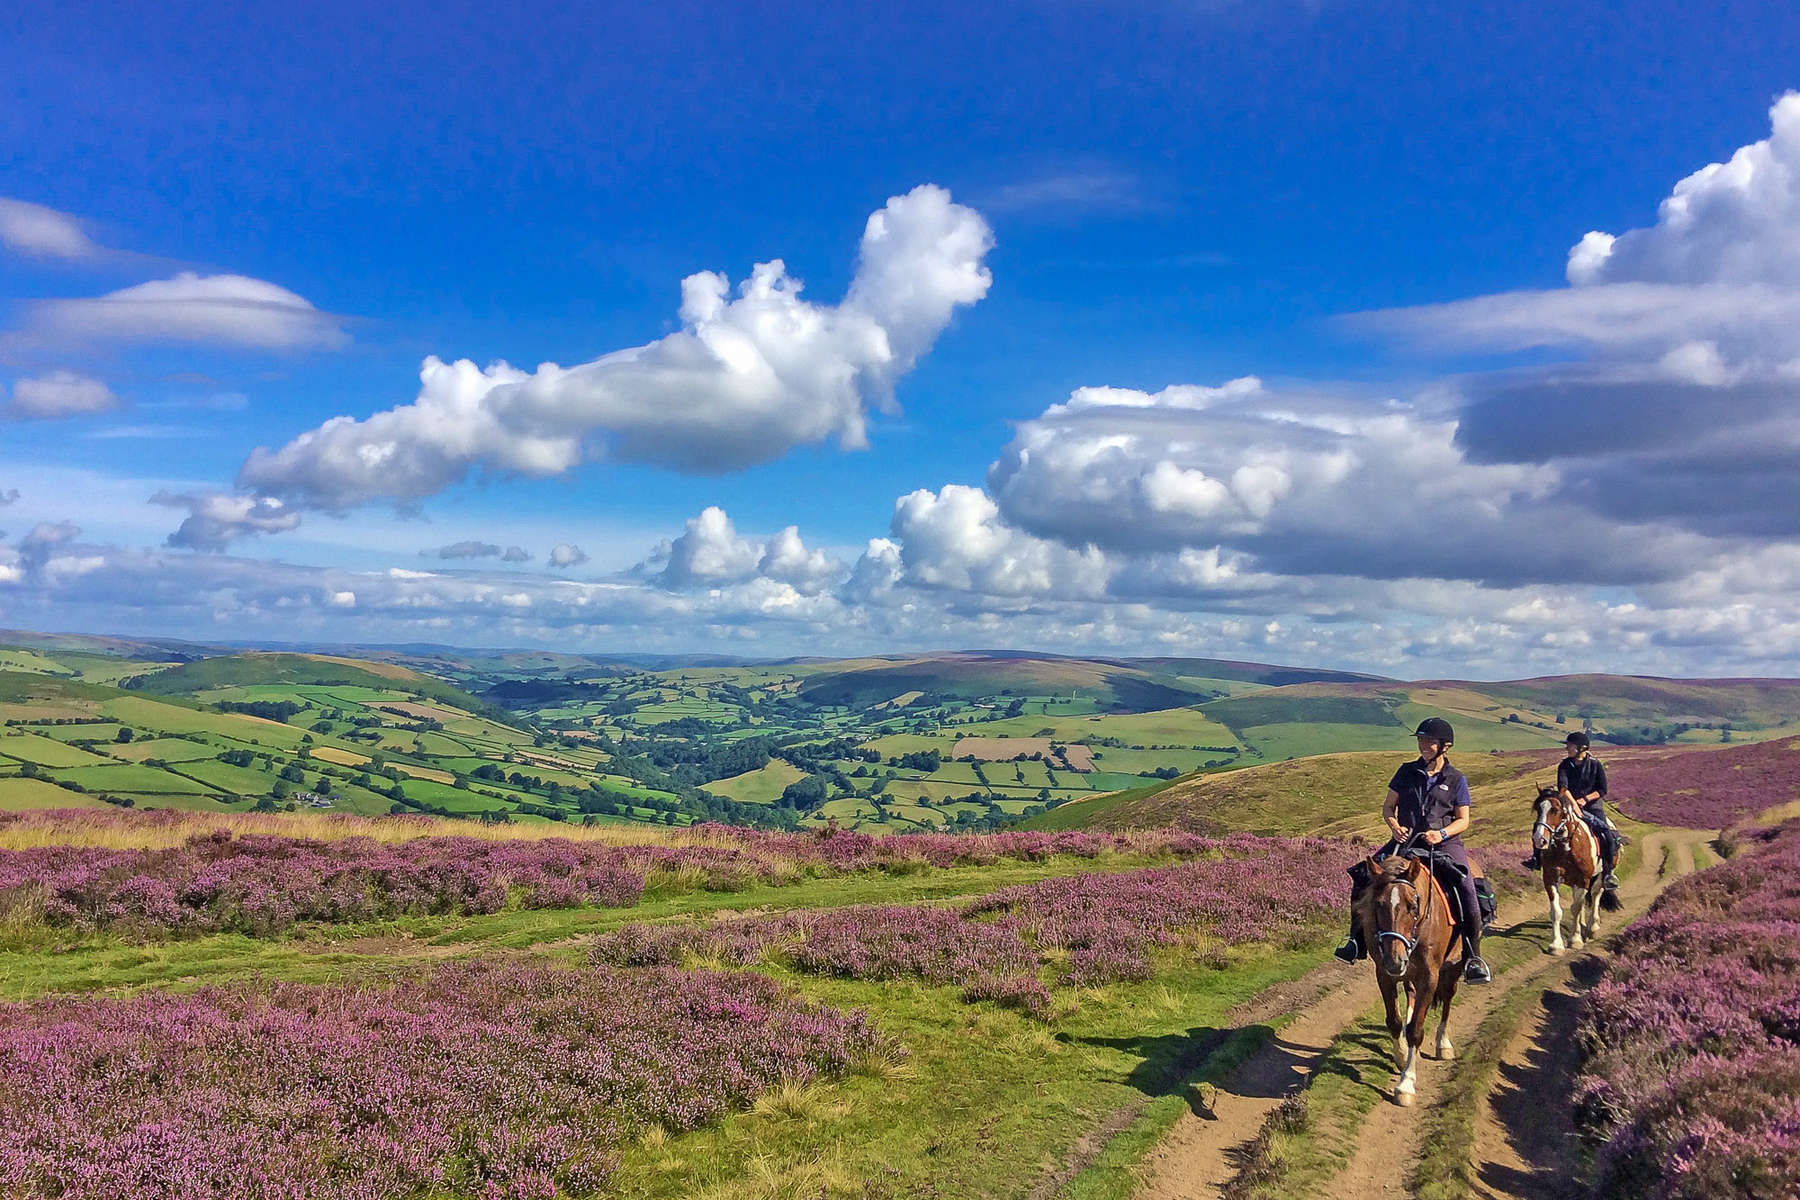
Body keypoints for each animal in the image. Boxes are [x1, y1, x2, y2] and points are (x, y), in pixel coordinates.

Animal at [1360, 852, 1461, 1108]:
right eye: (1378, 905)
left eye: (1413, 906)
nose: (1394, 960)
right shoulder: (1384, 974)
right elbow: (1394, 1021)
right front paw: (1402, 1055)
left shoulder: (1429, 977)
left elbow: (1416, 1029)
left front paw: (1406, 1084)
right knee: (1411, 996)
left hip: (1454, 965)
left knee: (1448, 998)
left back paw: (1443, 1043)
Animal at [1533, 788, 1605, 957]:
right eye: (1538, 809)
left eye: (1555, 810)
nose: (1539, 839)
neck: (1565, 848)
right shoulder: (1550, 879)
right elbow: (1556, 911)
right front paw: (1556, 945)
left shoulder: (1583, 880)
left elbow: (1575, 908)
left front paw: (1575, 939)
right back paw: (1583, 925)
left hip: (1599, 876)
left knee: (1596, 894)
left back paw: (1593, 927)